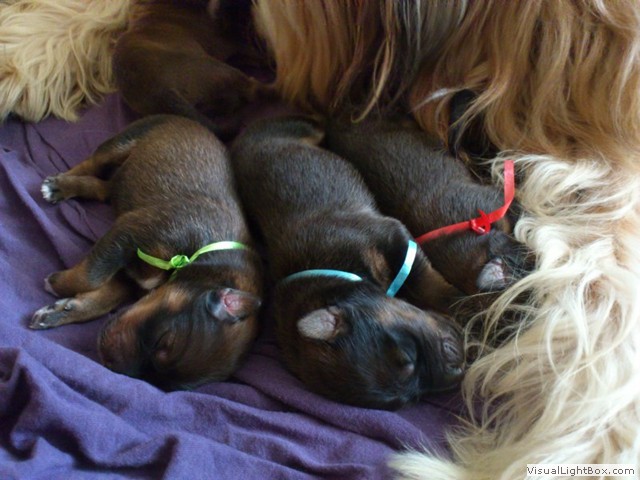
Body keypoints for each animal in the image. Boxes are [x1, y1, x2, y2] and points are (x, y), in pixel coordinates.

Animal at [31, 115, 263, 390]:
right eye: (163, 339)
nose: (107, 361)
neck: (201, 255)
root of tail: (188, 119)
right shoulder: (132, 232)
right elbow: (91, 276)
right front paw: (57, 284)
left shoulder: (132, 276)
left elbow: (103, 298)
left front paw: (60, 310)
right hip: (126, 140)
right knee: (93, 163)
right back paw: (59, 184)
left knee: (105, 188)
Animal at [231, 116, 465, 409]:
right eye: (410, 398)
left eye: (408, 354)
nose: (458, 370)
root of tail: (244, 135)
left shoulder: (390, 235)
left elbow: (425, 280)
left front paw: (456, 301)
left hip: (301, 129)